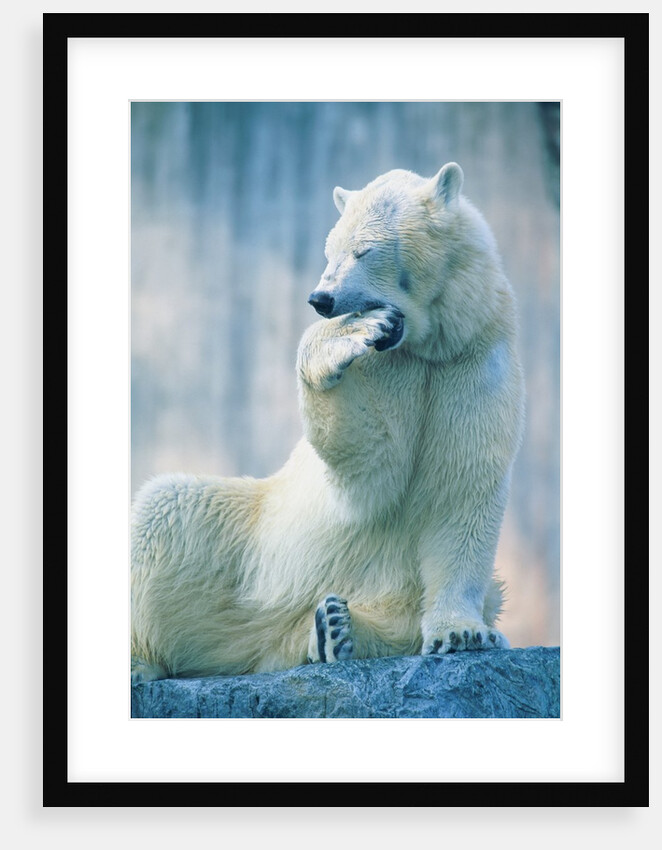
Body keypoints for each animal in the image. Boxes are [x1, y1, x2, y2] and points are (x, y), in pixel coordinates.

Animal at [130, 162, 525, 682]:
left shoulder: (474, 358)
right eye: (329, 250)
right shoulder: (390, 367)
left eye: (364, 249)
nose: (321, 298)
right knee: (165, 510)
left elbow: (464, 486)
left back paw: (336, 628)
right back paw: (142, 659)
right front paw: (347, 336)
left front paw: (463, 633)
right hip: (248, 542)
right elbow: (369, 461)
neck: (429, 344)